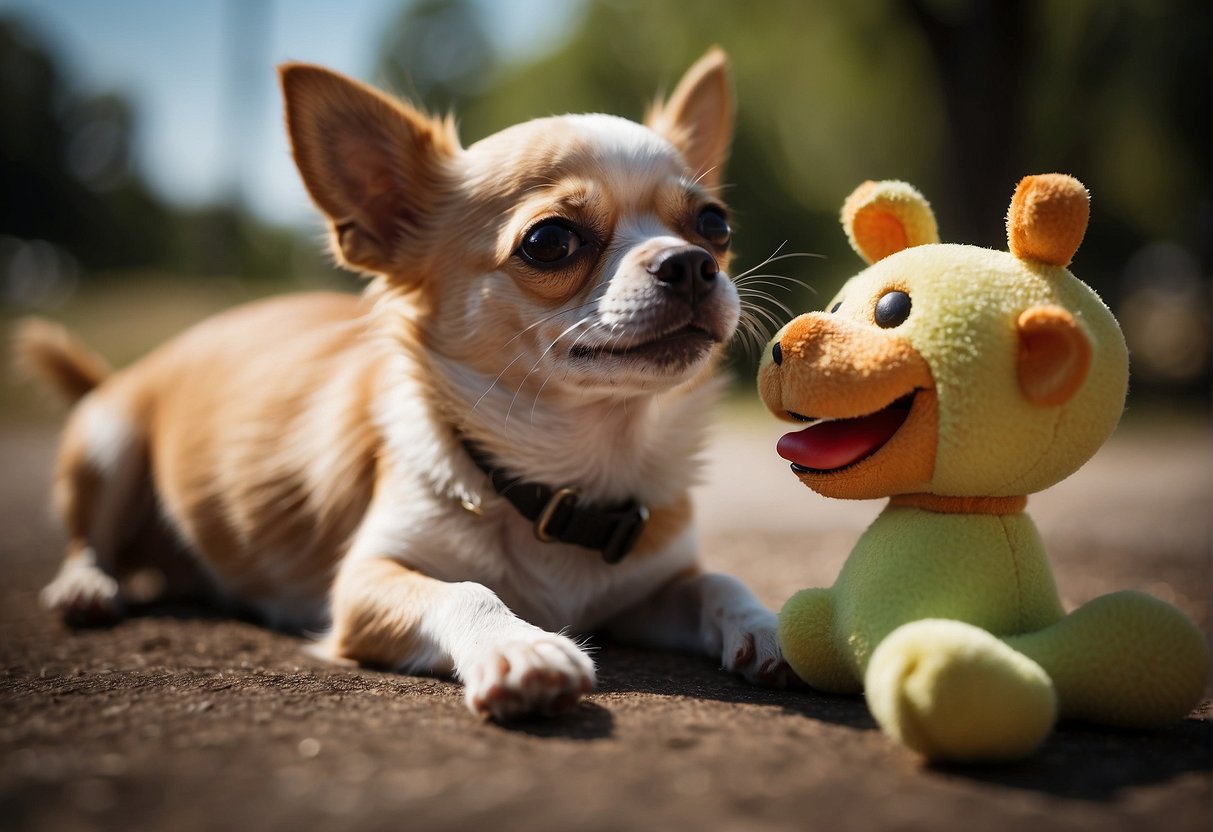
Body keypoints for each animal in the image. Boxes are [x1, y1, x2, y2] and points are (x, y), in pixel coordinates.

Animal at [23, 50, 790, 717]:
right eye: (549, 241)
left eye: (714, 223)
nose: (691, 263)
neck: (569, 476)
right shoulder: (362, 585)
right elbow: (466, 589)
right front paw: (521, 648)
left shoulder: (649, 590)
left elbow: (718, 579)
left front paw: (769, 625)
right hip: (109, 441)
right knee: (87, 537)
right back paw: (86, 585)